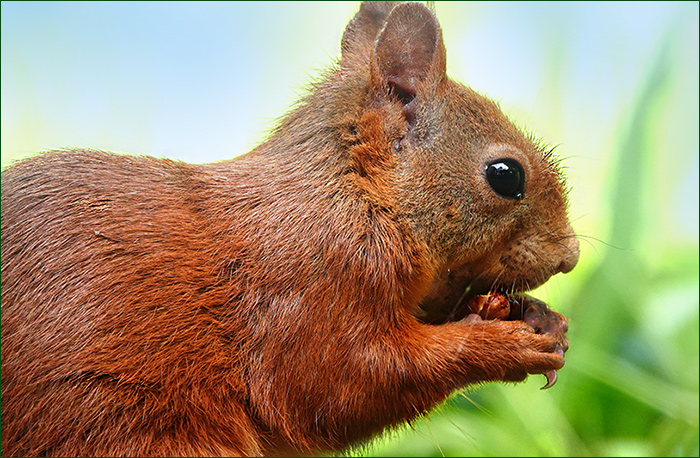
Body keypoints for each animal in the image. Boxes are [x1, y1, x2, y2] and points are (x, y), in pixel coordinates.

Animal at [1, 2, 579, 456]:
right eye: (506, 175)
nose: (570, 256)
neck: (355, 199)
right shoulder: (311, 290)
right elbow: (338, 387)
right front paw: (500, 346)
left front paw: (537, 316)